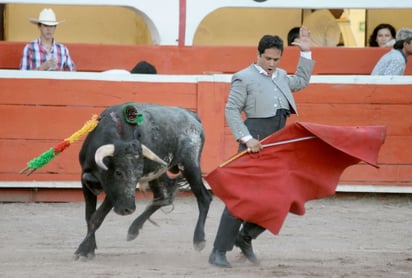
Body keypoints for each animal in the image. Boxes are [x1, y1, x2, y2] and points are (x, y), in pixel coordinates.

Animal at [73, 102, 212, 260]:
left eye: (138, 175)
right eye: (118, 172)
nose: (128, 209)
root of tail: (192, 116)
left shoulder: (113, 193)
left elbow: (96, 217)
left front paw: (83, 250)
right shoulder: (85, 181)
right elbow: (89, 216)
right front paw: (89, 248)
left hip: (190, 165)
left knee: (204, 198)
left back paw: (199, 240)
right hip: (158, 172)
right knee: (164, 197)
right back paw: (133, 230)